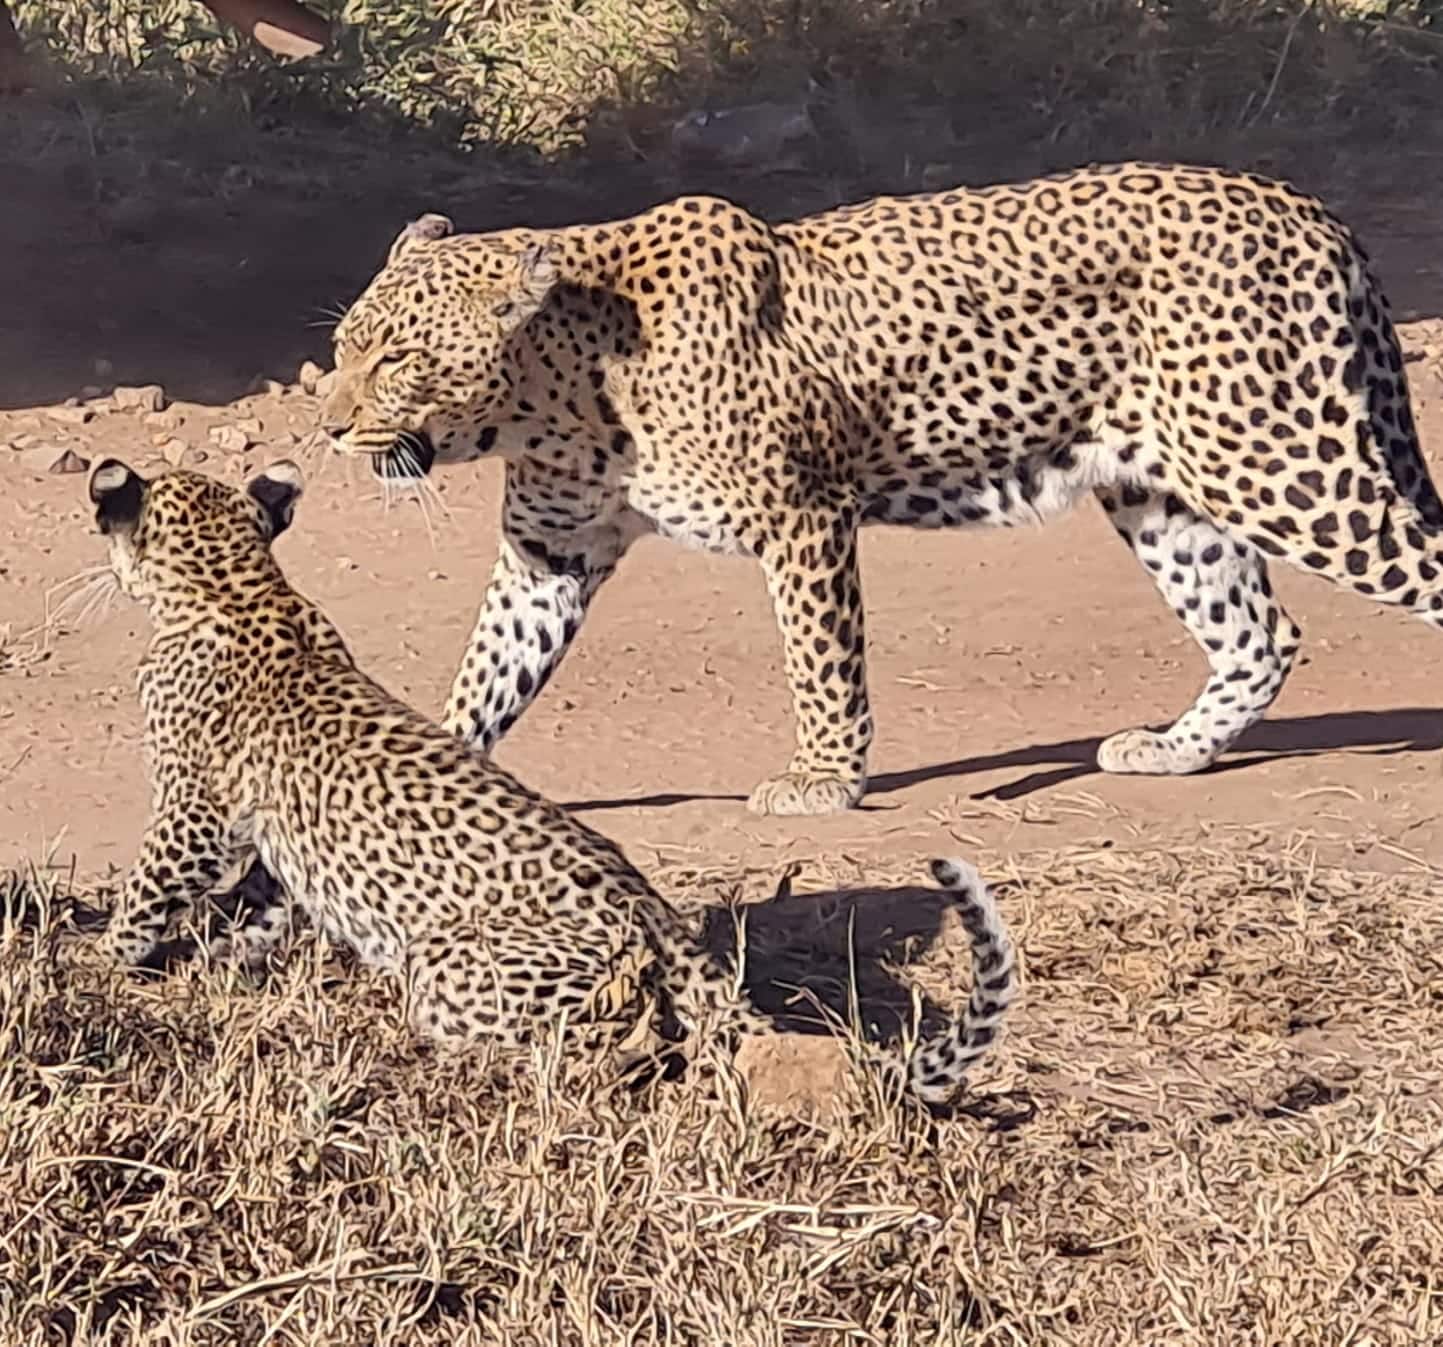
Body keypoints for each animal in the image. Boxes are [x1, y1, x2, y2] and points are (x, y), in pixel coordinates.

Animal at [321, 168, 1437, 820]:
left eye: (398, 361)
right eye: (342, 350)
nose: (328, 426)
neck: (559, 394)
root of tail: (1304, 205)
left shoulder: (801, 514)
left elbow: (820, 660)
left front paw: (822, 780)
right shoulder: (550, 552)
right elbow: (487, 672)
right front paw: (424, 772)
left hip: (1283, 464)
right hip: (1162, 491)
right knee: (1259, 633)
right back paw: (1171, 751)